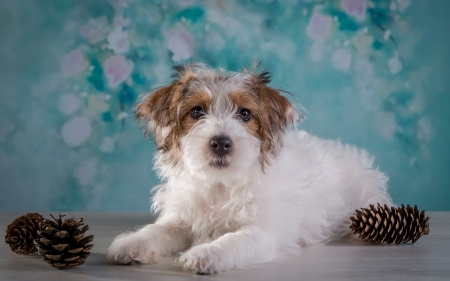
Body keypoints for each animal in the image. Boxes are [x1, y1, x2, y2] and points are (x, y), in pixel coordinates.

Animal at [107, 63, 392, 274]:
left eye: (245, 114)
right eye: (196, 111)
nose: (221, 143)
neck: (222, 183)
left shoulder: (265, 231)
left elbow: (233, 240)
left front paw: (207, 253)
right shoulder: (182, 219)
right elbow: (158, 230)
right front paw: (132, 242)